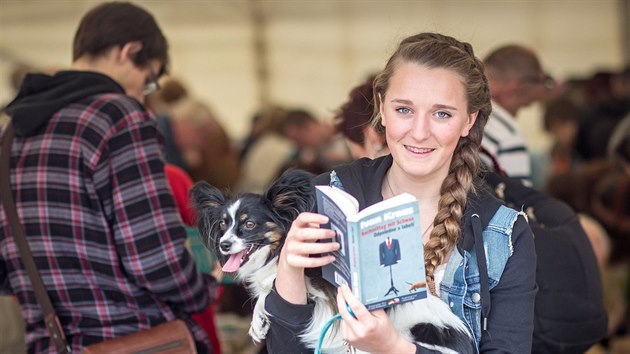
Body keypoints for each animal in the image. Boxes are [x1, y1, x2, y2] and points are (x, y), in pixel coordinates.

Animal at [190, 170, 476, 352]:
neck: (278, 250)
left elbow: (272, 285)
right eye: (223, 225)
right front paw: (258, 322)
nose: (224, 244)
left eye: (249, 224)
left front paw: (260, 313)